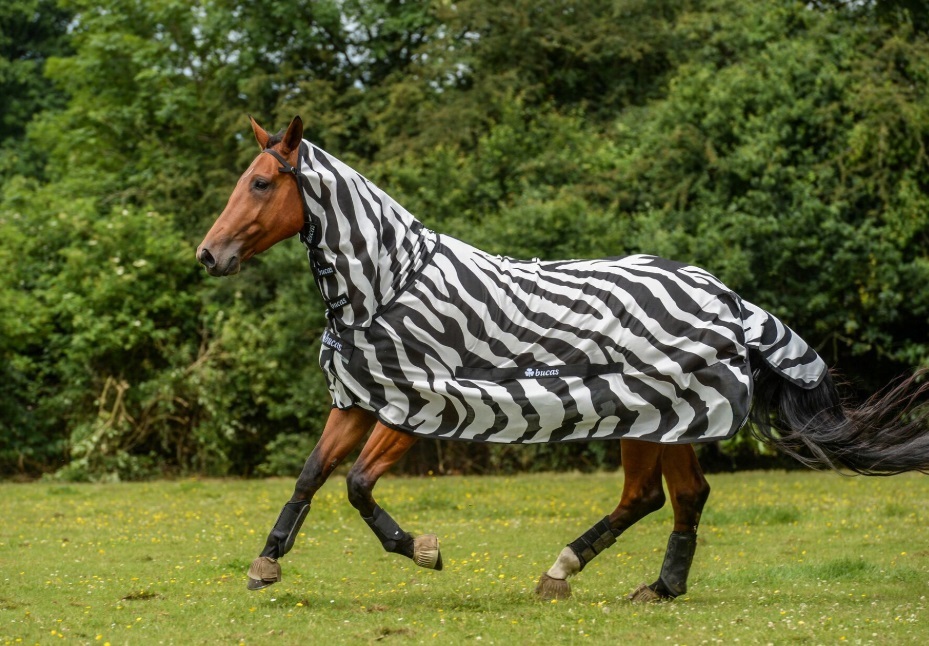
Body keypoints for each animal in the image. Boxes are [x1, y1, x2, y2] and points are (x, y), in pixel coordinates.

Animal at [196, 115, 928, 604]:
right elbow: (311, 477)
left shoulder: (414, 404)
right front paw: (266, 563)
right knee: (663, 496)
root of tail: (725, 296)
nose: (208, 255)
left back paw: (624, 580)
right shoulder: (356, 398)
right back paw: (605, 578)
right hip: (658, 423)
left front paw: (422, 550)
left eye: (260, 183)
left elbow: (354, 485)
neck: (388, 285)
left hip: (665, 416)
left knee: (668, 496)